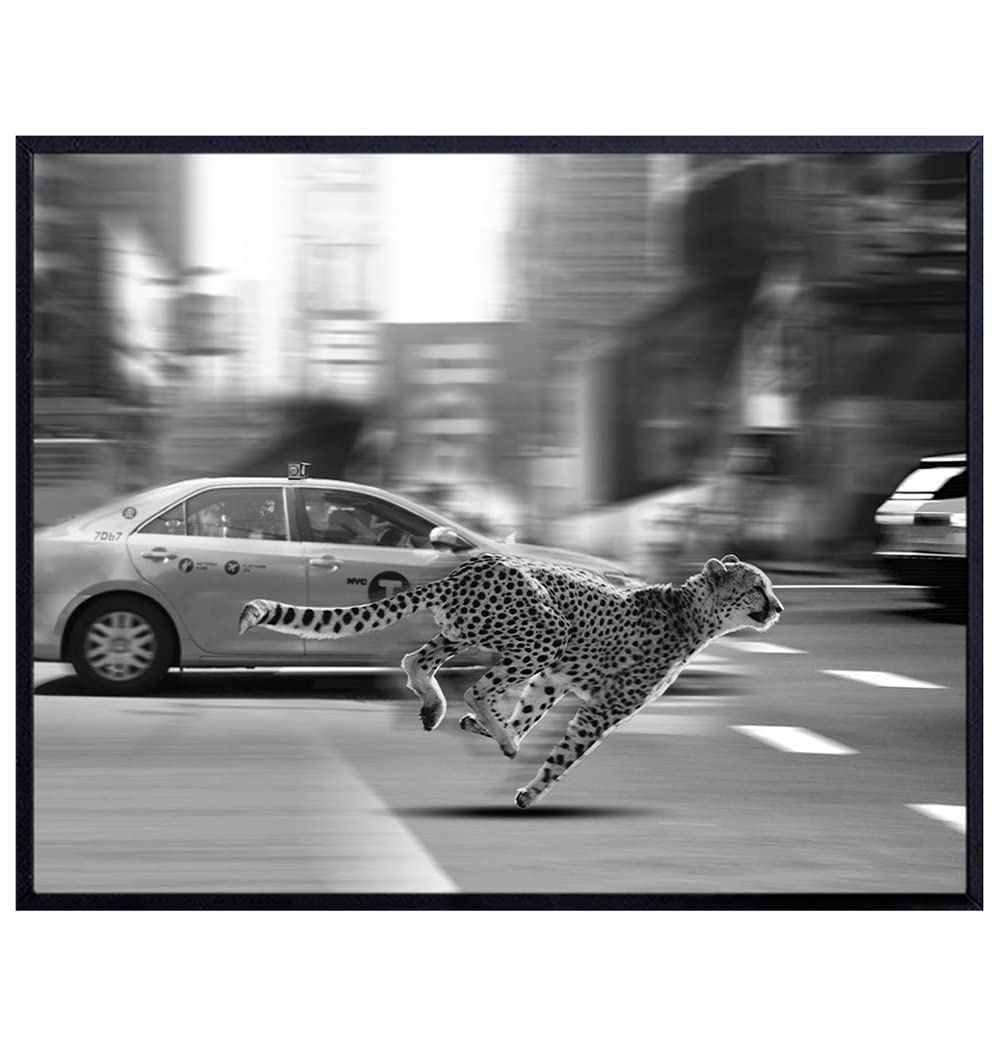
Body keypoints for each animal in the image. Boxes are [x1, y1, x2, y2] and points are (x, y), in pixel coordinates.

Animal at [238, 552, 783, 809]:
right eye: (758, 587)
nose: (778, 607)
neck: (692, 613)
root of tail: (474, 563)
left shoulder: (555, 678)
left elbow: (530, 711)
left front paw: (492, 730)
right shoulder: (601, 707)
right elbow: (564, 755)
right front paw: (529, 791)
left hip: (466, 631)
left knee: (416, 660)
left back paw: (440, 710)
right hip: (547, 631)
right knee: (476, 687)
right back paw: (495, 735)